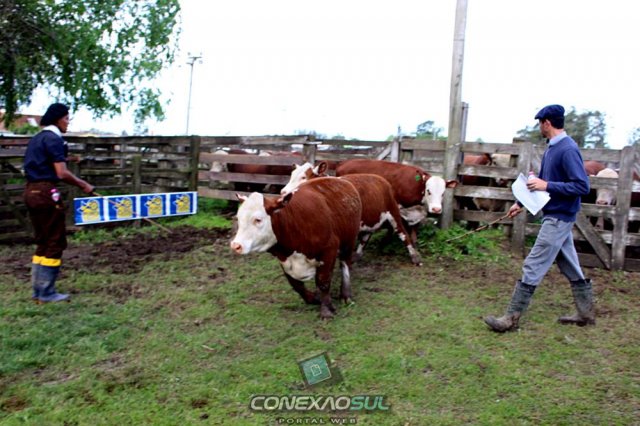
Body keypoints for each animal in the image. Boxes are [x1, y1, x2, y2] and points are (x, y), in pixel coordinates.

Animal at [230, 177, 362, 320]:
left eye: (258, 220)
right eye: (239, 218)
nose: (236, 245)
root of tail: (340, 179)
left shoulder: (329, 249)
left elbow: (323, 281)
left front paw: (326, 310)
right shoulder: (284, 259)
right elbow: (296, 284)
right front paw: (314, 298)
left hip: (349, 241)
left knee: (345, 264)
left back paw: (346, 295)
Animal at [281, 162, 422, 266]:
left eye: (304, 177)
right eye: (291, 175)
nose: (283, 192)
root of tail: (381, 180)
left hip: (393, 212)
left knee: (403, 234)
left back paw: (415, 257)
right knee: (366, 236)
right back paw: (357, 255)